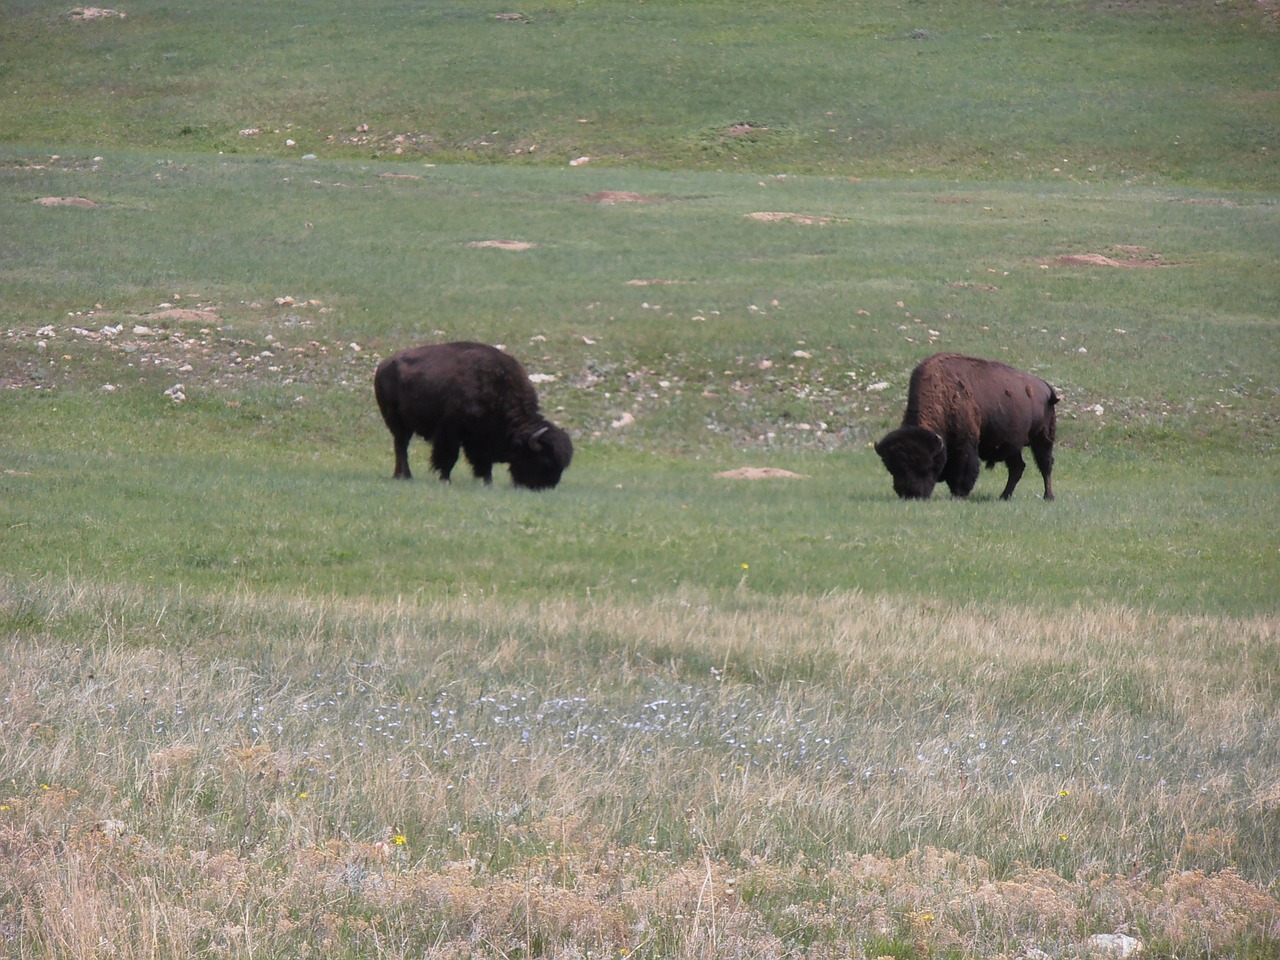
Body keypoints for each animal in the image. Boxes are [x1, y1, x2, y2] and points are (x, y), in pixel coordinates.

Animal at [371, 343, 570, 491]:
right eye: (544, 461)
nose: (546, 487)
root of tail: (383, 366)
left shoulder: (480, 439)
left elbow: (484, 462)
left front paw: (488, 483)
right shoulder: (450, 433)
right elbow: (449, 457)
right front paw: (445, 480)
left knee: (400, 447)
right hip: (397, 423)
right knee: (401, 447)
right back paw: (405, 476)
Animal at [870, 355, 1059, 504]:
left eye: (926, 465)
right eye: (893, 468)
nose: (911, 494)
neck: (942, 394)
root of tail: (1046, 387)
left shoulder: (965, 446)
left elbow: (964, 470)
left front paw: (958, 495)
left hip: (1042, 439)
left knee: (1045, 465)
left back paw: (1048, 497)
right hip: (1013, 446)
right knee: (1017, 468)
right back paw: (1004, 497)